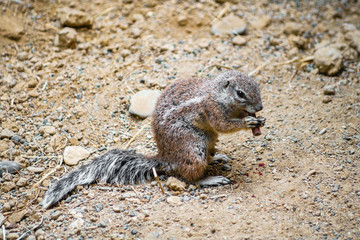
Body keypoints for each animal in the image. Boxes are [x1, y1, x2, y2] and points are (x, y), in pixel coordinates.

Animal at [42, 70, 264, 208]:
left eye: (257, 86)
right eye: (240, 93)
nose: (260, 107)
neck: (217, 93)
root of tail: (165, 158)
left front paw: (258, 119)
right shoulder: (212, 109)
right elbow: (223, 125)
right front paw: (248, 122)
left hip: (209, 140)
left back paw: (217, 158)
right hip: (193, 147)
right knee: (190, 177)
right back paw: (210, 179)